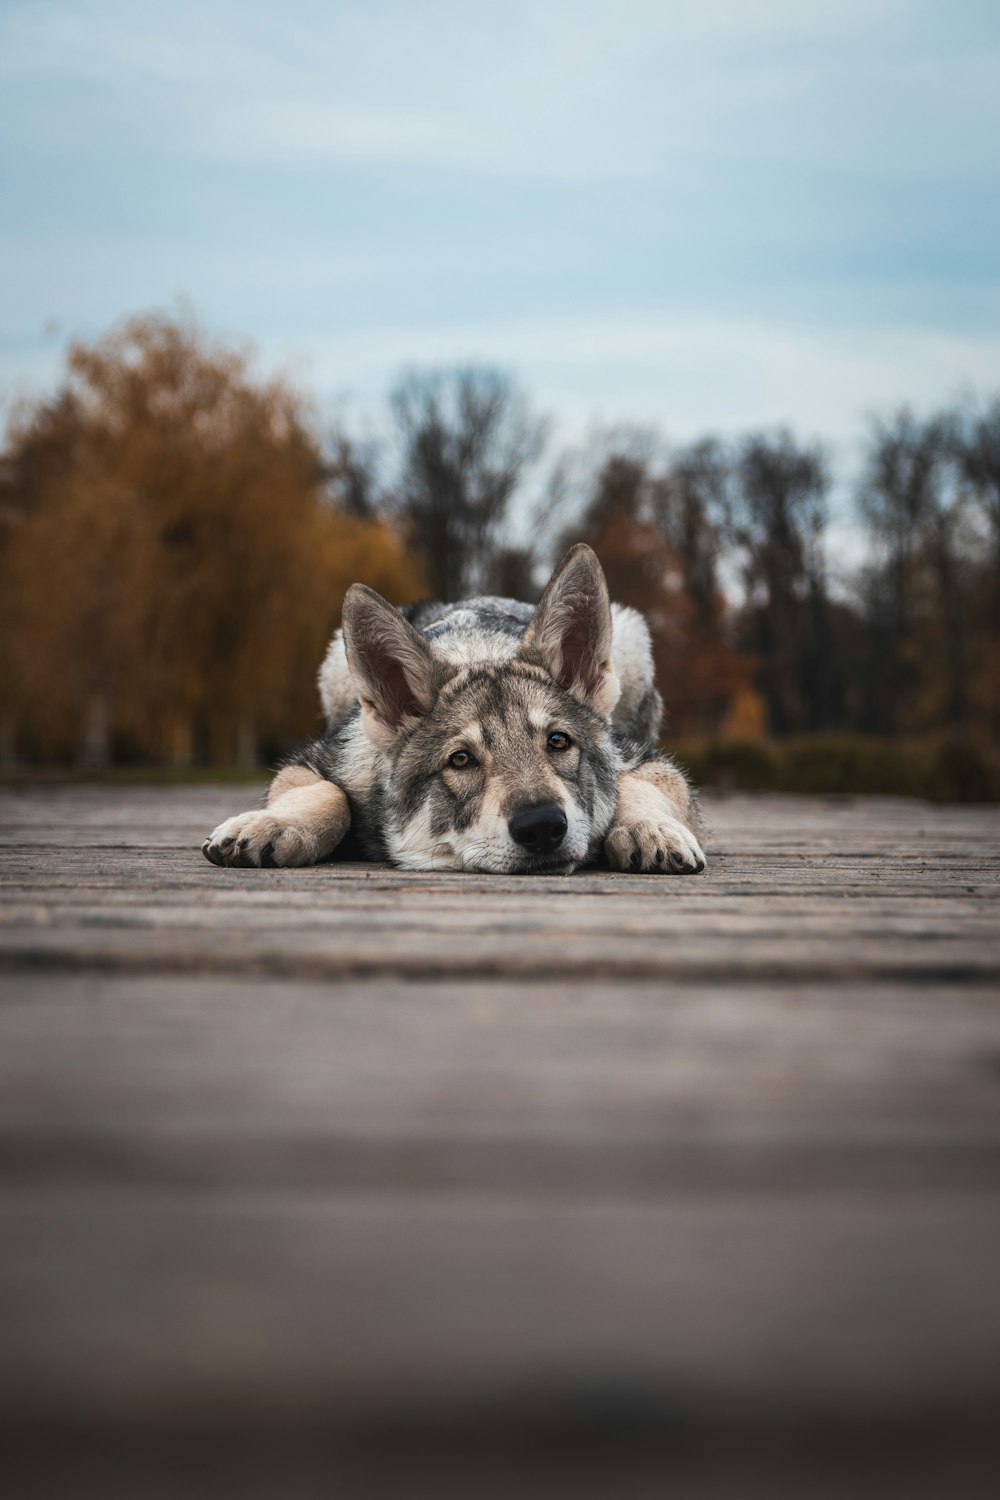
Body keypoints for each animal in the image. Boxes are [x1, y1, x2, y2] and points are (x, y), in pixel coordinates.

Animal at [200, 543, 704, 876]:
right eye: (461, 760)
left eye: (559, 742)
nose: (542, 826)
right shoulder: (314, 761)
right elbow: (329, 795)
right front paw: (270, 824)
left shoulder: (648, 759)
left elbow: (635, 785)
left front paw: (650, 831)